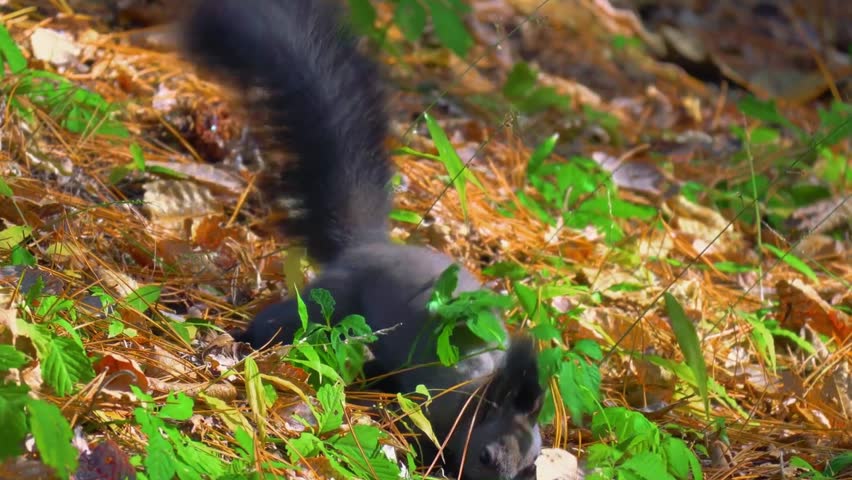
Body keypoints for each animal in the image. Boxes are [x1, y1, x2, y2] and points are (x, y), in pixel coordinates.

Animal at [181, 1, 543, 478]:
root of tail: (370, 246)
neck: (473, 390)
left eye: (531, 469)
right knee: (281, 321)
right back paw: (241, 336)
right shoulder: (429, 397)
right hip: (331, 302)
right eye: (486, 456)